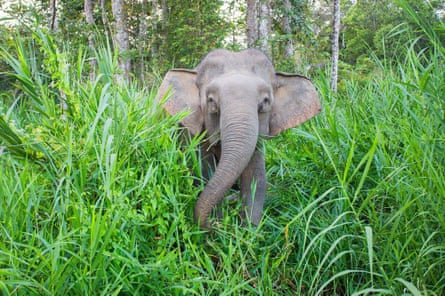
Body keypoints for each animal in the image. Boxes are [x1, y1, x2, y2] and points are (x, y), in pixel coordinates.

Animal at [157, 49, 320, 229]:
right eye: (211, 101)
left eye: (265, 101)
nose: (215, 224)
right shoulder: (191, 131)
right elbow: (204, 172)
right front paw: (218, 228)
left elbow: (255, 177)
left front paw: (248, 230)